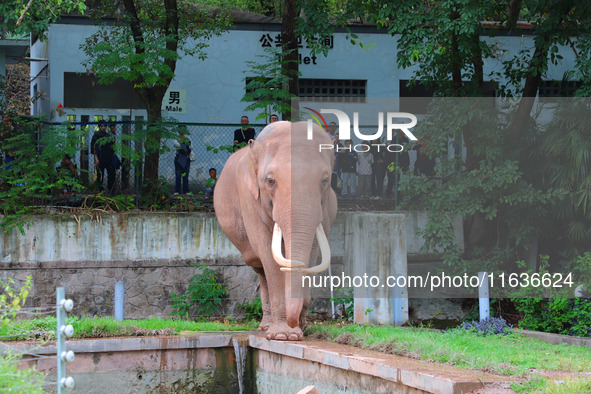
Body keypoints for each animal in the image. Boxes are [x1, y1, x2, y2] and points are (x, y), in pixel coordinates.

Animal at [216, 121, 338, 340]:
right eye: (270, 181)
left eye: (325, 181)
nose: (294, 323)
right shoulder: (250, 201)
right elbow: (268, 253)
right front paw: (283, 336)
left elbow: (313, 253)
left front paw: (297, 332)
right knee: (260, 268)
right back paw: (265, 327)